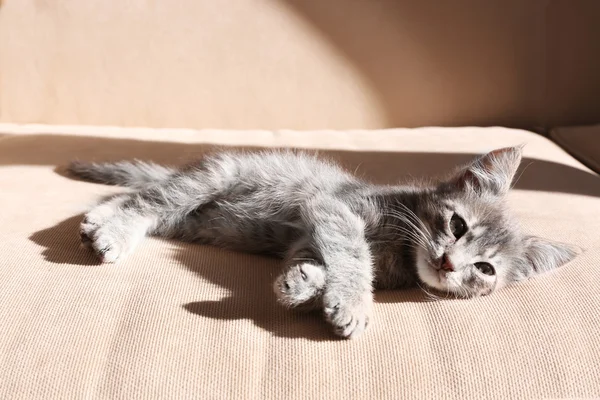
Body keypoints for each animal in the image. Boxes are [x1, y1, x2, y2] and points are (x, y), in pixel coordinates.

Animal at [69, 145, 576, 340]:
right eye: (457, 224)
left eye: (486, 270)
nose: (450, 264)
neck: (402, 248)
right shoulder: (334, 208)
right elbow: (352, 253)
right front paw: (352, 301)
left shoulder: (310, 233)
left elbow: (314, 260)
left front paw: (303, 284)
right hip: (210, 180)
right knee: (148, 200)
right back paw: (110, 230)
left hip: (194, 221)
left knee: (145, 202)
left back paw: (99, 218)